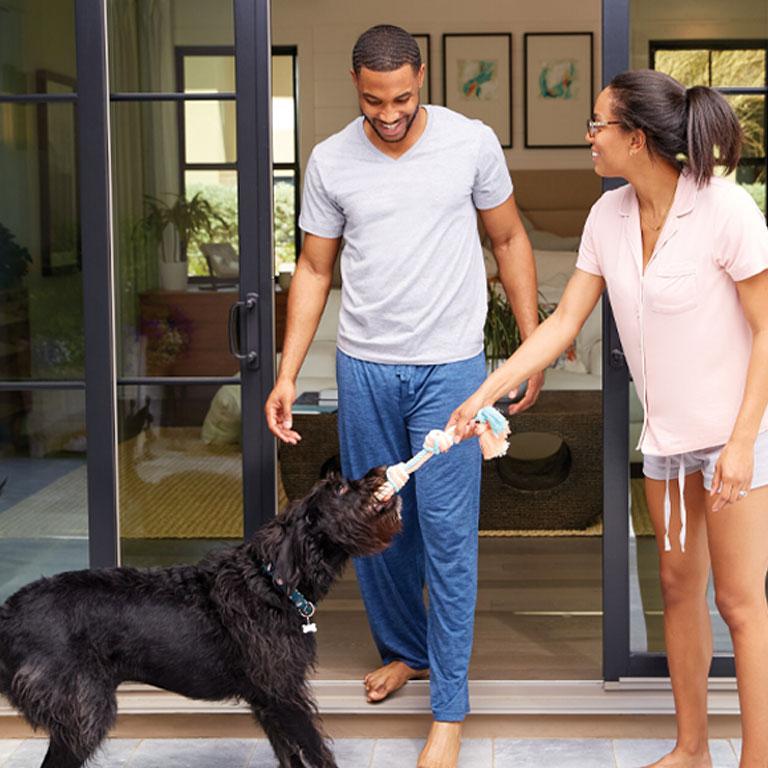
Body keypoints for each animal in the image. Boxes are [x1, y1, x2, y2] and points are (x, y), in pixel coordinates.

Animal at [0, 464, 404, 768]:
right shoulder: (284, 694)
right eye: (339, 488)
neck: (271, 583)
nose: (379, 470)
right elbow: (318, 753)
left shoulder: (266, 700)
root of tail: (8, 613)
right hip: (83, 716)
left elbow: (291, 755)